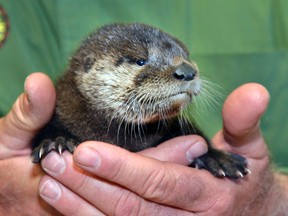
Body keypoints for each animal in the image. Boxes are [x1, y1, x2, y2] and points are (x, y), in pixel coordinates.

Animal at [31, 23, 248, 179]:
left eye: (186, 56)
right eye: (140, 60)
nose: (187, 71)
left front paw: (218, 157)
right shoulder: (62, 108)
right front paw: (57, 141)